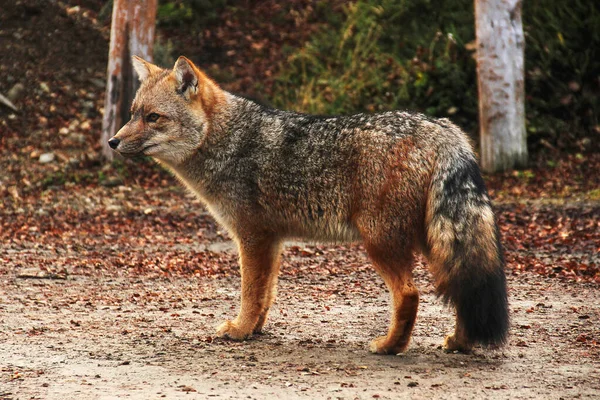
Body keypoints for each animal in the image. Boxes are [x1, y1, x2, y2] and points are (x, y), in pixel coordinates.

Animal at [106, 54, 506, 354]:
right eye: (132, 113)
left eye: (153, 117)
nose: (112, 141)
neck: (227, 140)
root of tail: (442, 129)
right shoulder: (271, 240)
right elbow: (265, 293)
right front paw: (255, 329)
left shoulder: (252, 237)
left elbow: (250, 292)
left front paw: (239, 330)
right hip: (433, 242)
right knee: (463, 287)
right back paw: (459, 342)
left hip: (381, 245)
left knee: (410, 294)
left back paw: (390, 347)